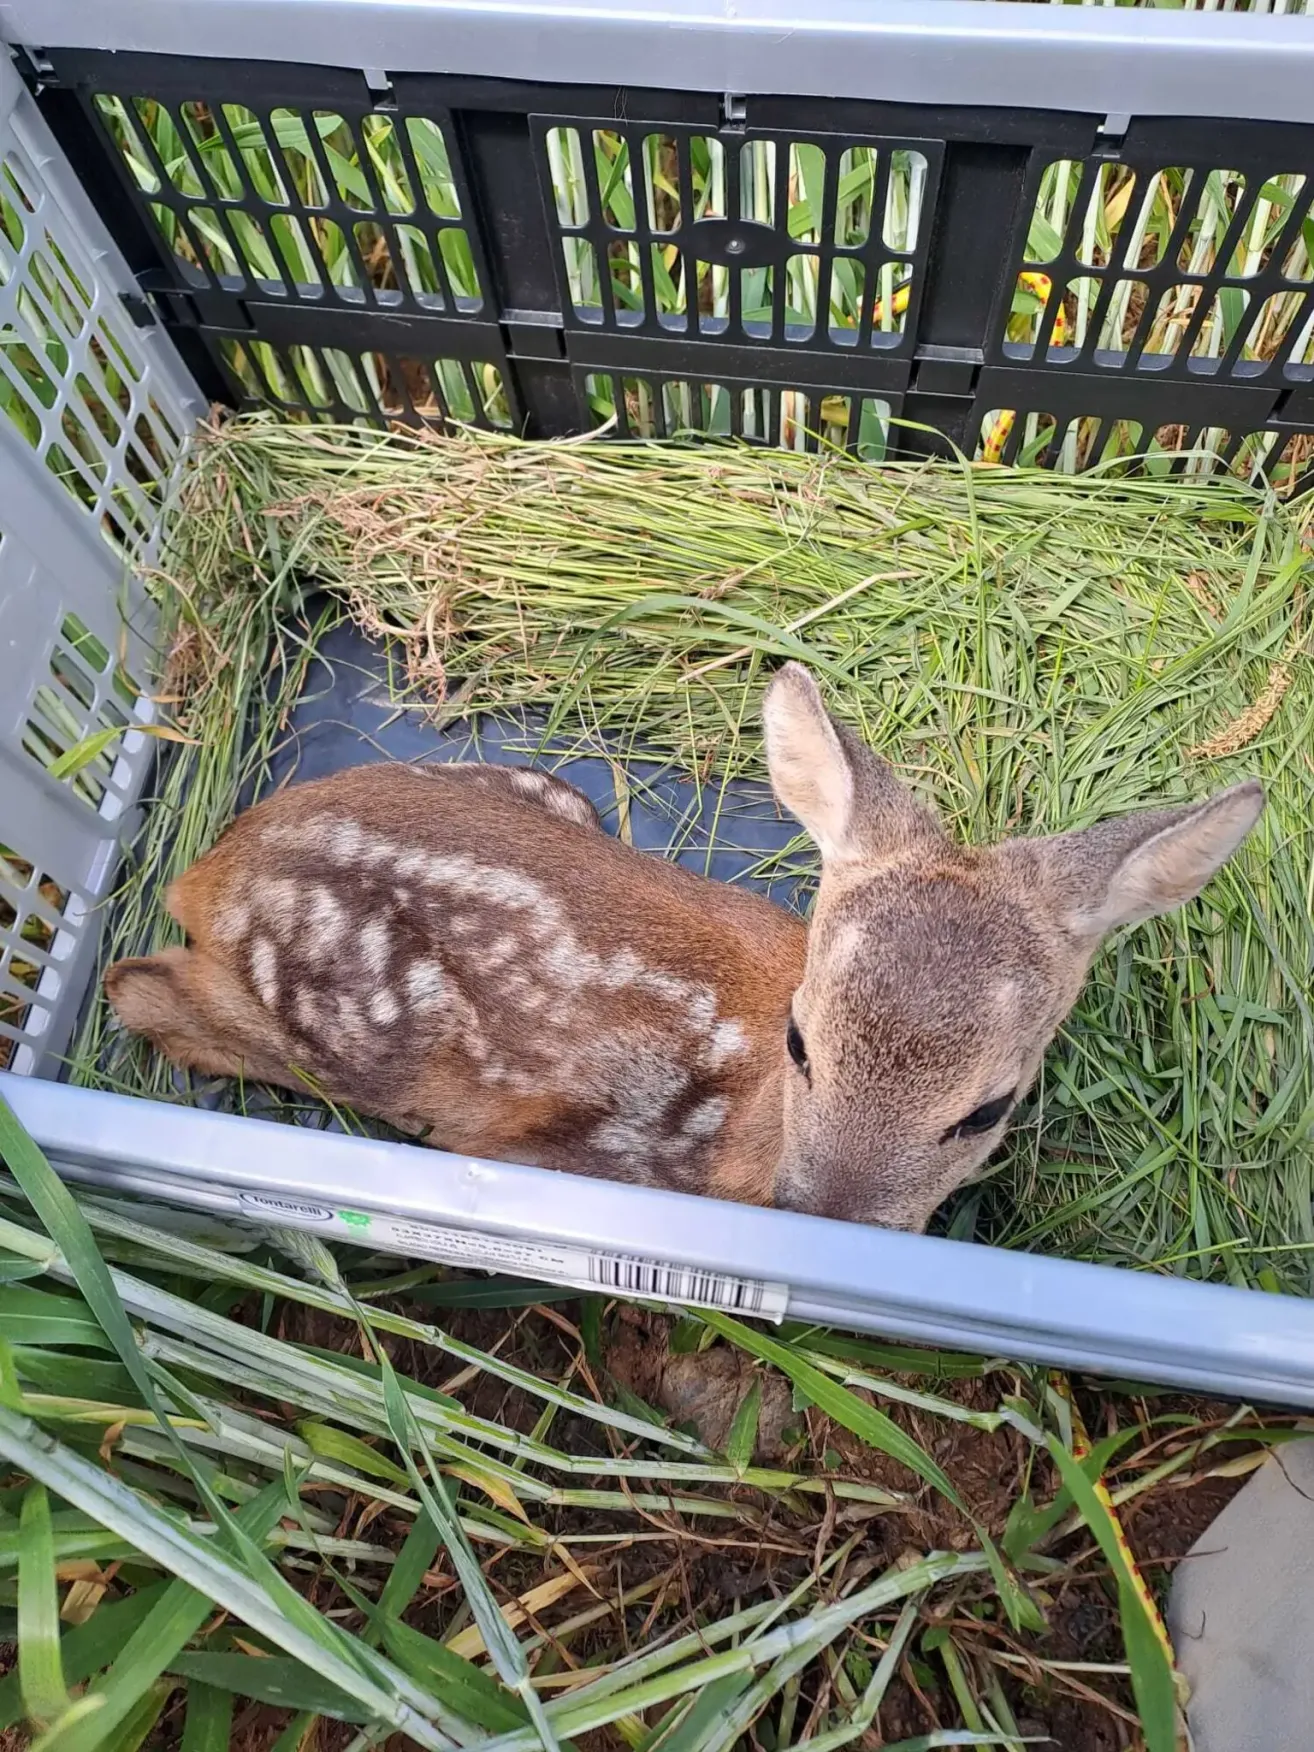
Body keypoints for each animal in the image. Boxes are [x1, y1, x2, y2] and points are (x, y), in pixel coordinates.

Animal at [104, 664, 1263, 1232]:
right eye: (801, 1045)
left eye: (990, 1110)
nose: (821, 1218)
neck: (739, 1130)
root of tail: (212, 860)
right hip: (348, 1032)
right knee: (135, 985)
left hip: (550, 792)